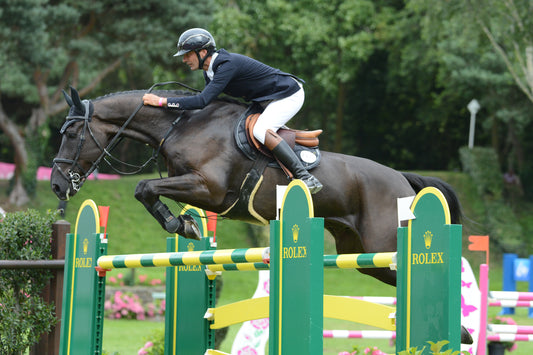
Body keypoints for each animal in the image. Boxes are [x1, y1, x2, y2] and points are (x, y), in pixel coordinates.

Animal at [52, 87, 464, 290]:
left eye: (71, 133)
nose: (57, 185)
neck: (182, 125)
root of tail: (402, 179)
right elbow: (147, 191)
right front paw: (185, 224)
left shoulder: (209, 189)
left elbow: (144, 187)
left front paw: (181, 224)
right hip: (361, 254)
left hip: (383, 246)